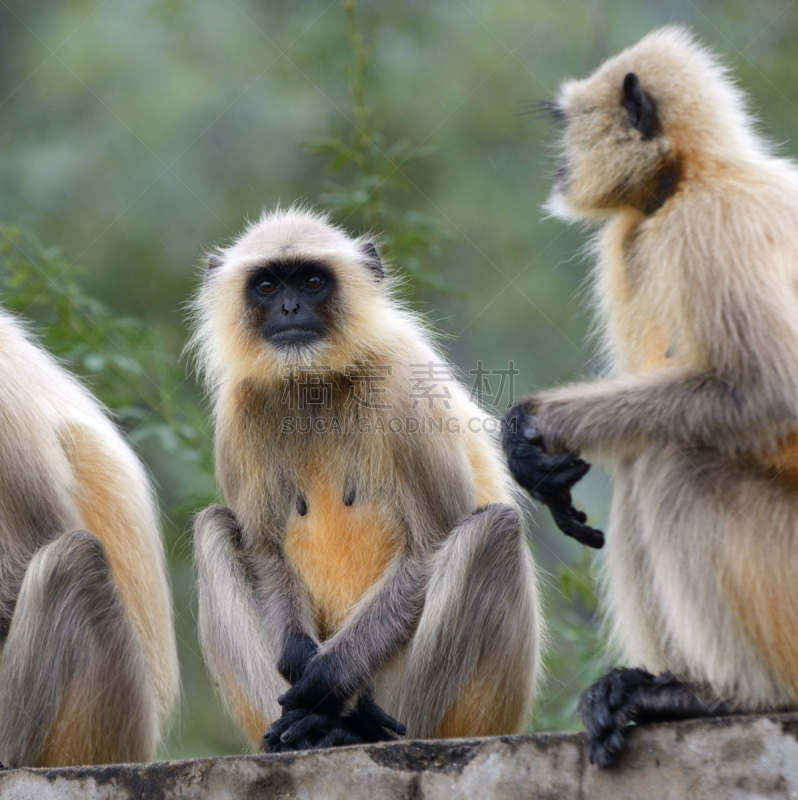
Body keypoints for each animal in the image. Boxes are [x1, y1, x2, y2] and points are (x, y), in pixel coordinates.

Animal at [191, 206, 540, 752]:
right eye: (267, 286)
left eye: (312, 281)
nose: (290, 307)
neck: (314, 384)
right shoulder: (238, 409)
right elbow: (264, 548)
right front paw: (300, 662)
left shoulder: (402, 384)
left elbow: (429, 546)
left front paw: (322, 682)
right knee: (211, 527)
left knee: (494, 529)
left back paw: (351, 728)